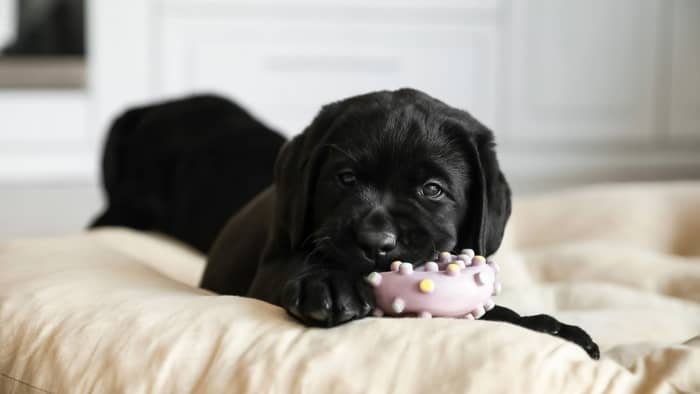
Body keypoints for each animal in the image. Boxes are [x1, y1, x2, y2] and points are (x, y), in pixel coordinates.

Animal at [90, 89, 600, 360]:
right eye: (346, 179)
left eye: (432, 190)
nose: (377, 242)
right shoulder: (271, 266)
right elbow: (300, 264)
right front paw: (330, 286)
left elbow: (490, 313)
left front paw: (552, 329)